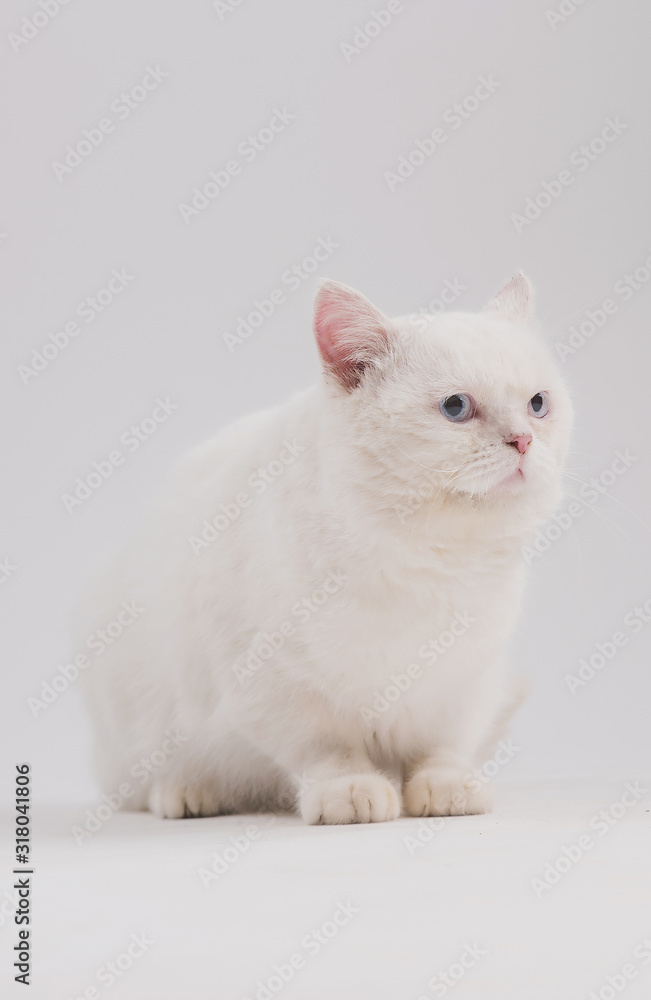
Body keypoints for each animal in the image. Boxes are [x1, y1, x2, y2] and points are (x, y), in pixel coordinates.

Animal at [76, 276, 572, 828]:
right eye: (456, 408)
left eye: (537, 403)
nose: (524, 440)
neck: (426, 559)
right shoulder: (275, 685)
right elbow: (329, 750)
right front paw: (350, 790)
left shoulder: (466, 683)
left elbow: (440, 747)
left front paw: (446, 787)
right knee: (147, 784)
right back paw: (189, 793)